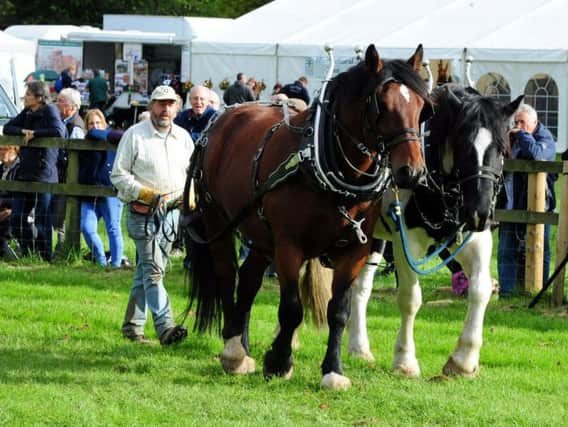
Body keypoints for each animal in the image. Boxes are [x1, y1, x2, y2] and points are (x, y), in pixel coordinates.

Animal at [185, 45, 430, 390]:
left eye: (421, 107)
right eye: (382, 105)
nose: (412, 171)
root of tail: (221, 120)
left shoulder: (355, 250)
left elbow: (338, 311)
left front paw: (333, 370)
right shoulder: (289, 245)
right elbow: (291, 309)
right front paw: (279, 362)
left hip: (261, 232)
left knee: (248, 280)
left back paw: (243, 347)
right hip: (217, 219)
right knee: (227, 275)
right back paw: (233, 350)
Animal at [346, 84, 524, 378]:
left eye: (501, 148)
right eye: (463, 146)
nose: (481, 212)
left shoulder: (473, 239)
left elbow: (481, 289)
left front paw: (463, 359)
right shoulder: (406, 241)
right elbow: (410, 299)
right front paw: (405, 360)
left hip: (372, 238)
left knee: (360, 288)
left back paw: (359, 349)